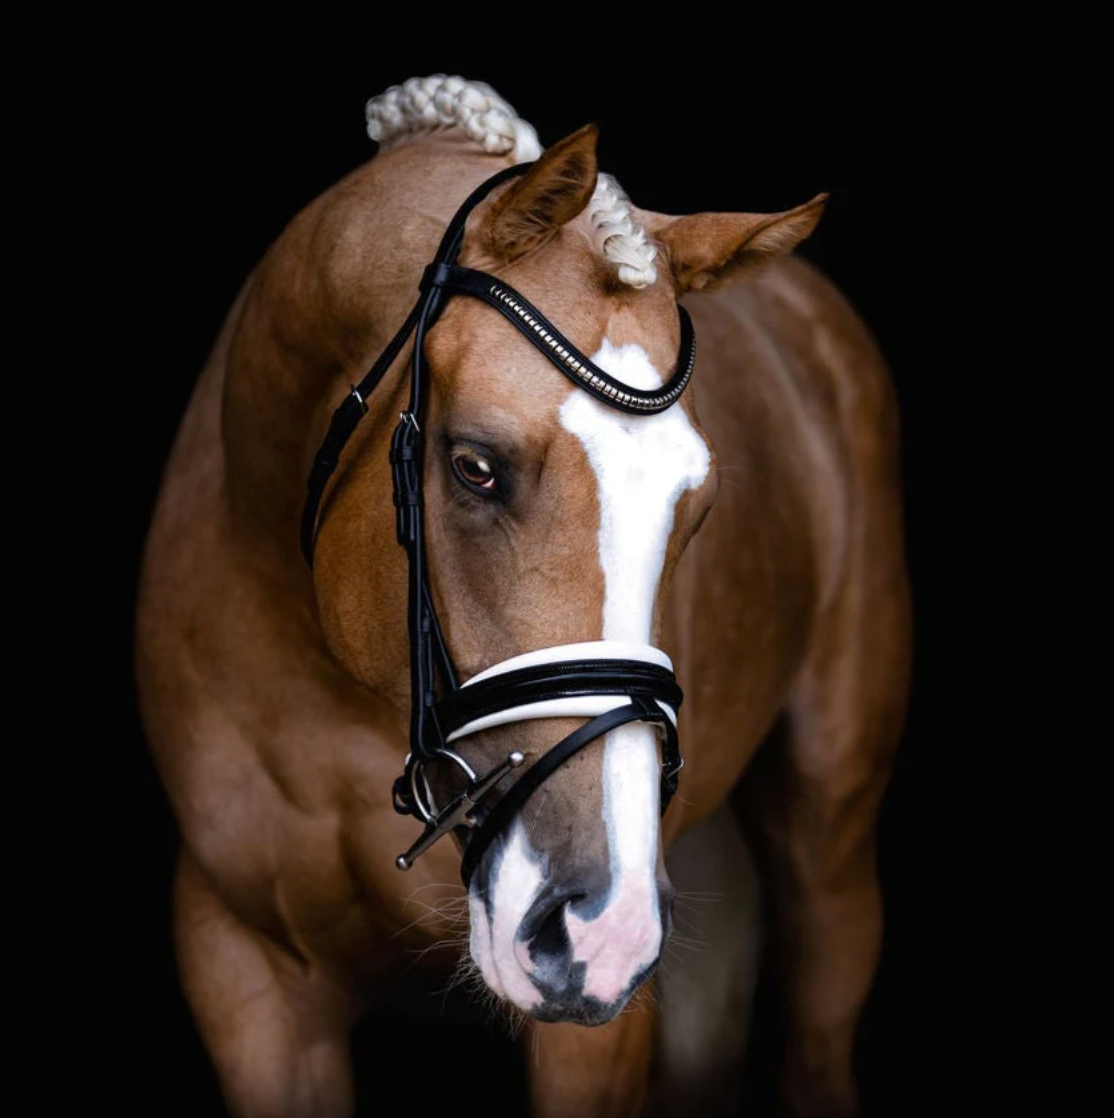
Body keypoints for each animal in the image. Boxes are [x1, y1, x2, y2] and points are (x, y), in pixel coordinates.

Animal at [134, 76, 908, 1118]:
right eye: (475, 466)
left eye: (695, 505)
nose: (601, 930)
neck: (331, 680)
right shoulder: (245, 974)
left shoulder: (596, 1036)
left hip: (830, 855)